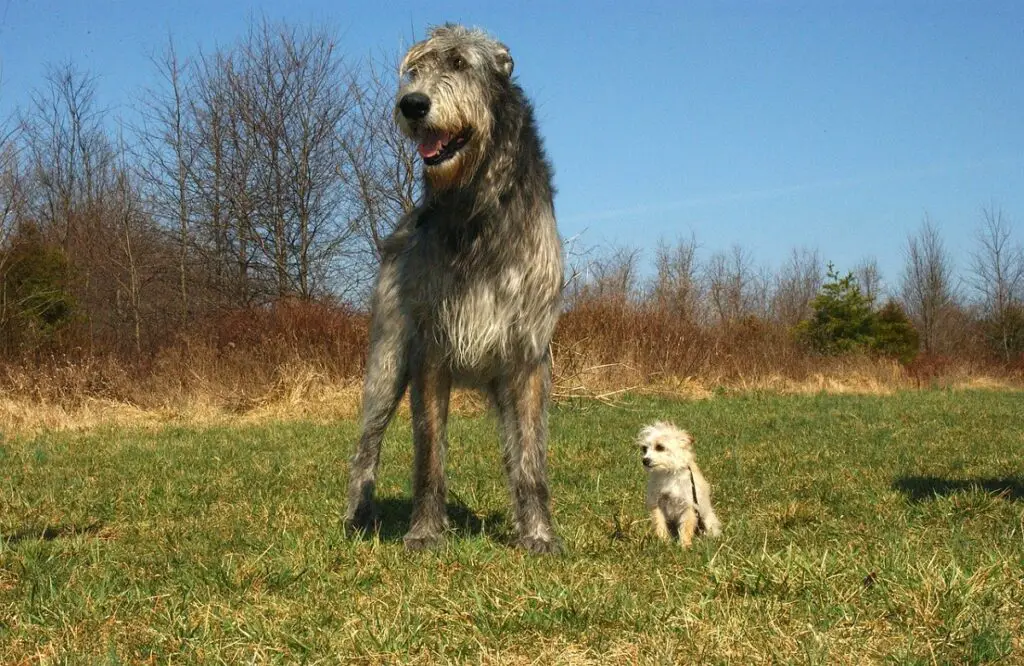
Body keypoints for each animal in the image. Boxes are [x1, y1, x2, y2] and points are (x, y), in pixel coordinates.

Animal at [348, 23, 565, 553]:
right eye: (415, 70)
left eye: (461, 64)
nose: (412, 104)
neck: (476, 206)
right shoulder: (430, 349)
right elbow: (429, 452)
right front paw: (425, 532)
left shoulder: (528, 355)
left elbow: (530, 459)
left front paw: (539, 533)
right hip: (386, 360)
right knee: (367, 444)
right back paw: (358, 515)